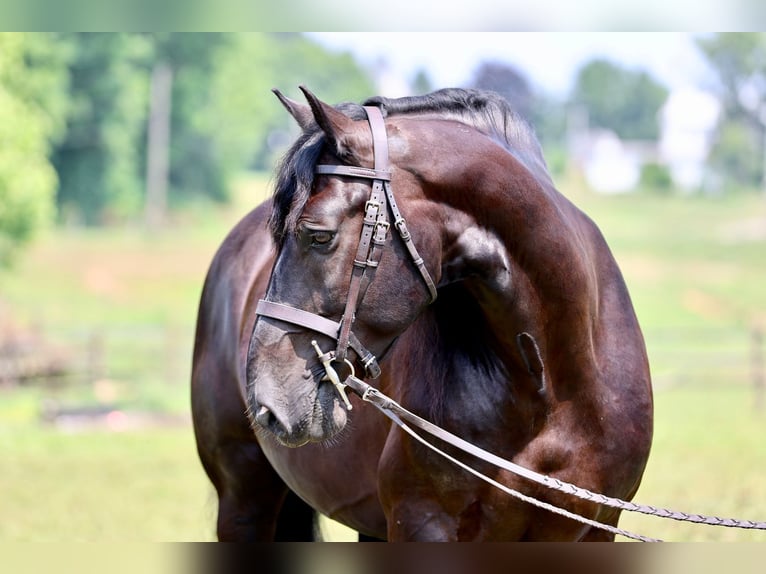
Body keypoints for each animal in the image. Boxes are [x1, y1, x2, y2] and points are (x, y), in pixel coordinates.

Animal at [191, 86, 654, 541]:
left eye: (318, 235)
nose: (266, 402)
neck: (548, 389)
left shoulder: (597, 528)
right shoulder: (422, 523)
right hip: (244, 499)